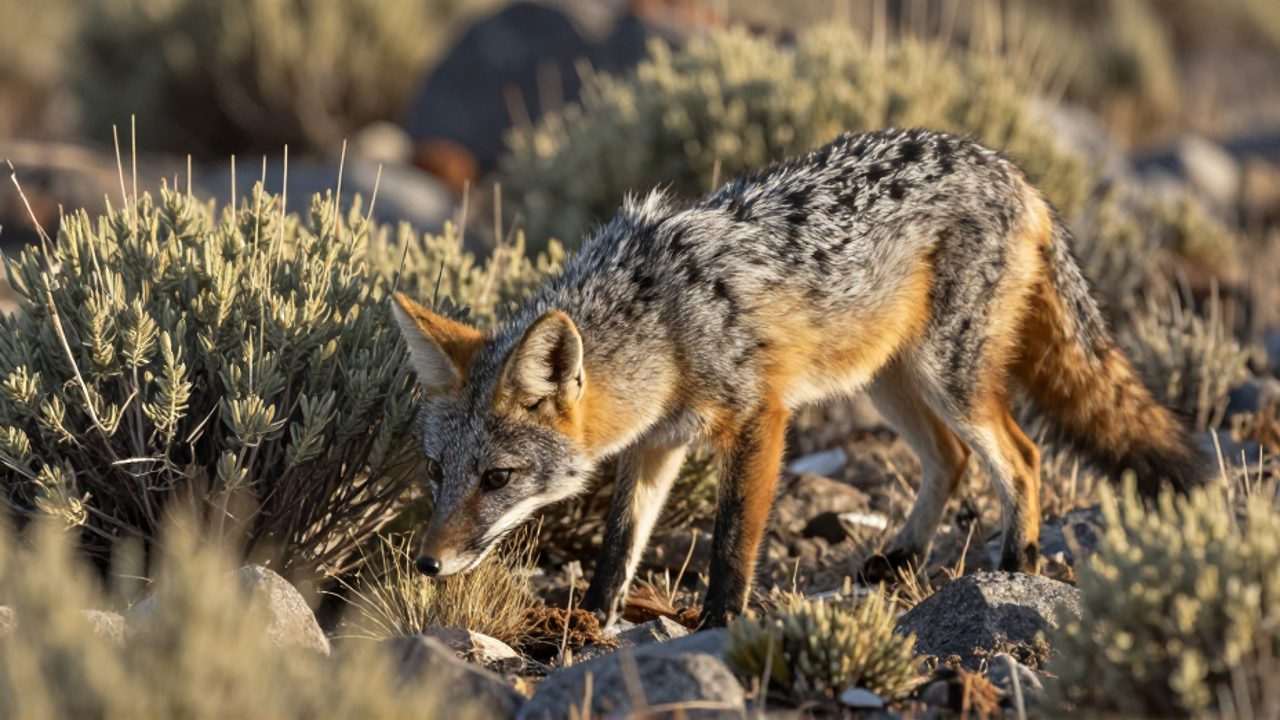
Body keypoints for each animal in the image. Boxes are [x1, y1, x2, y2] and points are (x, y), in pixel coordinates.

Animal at [390, 128, 1211, 627]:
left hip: (948, 379)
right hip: (887, 381)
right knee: (948, 460)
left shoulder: (761, 419)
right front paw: (592, 620)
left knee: (1024, 457)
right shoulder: (657, 445)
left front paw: (718, 625)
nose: (428, 562)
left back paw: (1014, 569)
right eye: (435, 471)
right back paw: (903, 556)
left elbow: (732, 542)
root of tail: (1007, 165)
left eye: (496, 478)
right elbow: (620, 544)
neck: (664, 320)